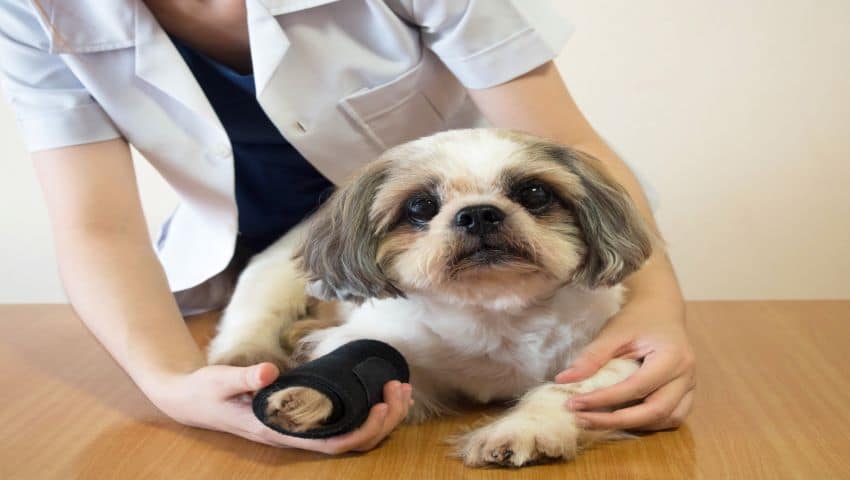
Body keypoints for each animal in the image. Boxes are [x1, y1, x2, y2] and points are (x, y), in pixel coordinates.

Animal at [204, 129, 648, 466]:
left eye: (535, 193)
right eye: (420, 206)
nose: (479, 213)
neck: (493, 310)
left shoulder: (606, 356)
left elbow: (567, 391)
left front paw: (522, 429)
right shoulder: (406, 363)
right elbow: (368, 357)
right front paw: (309, 395)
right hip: (274, 276)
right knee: (256, 317)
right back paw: (248, 353)